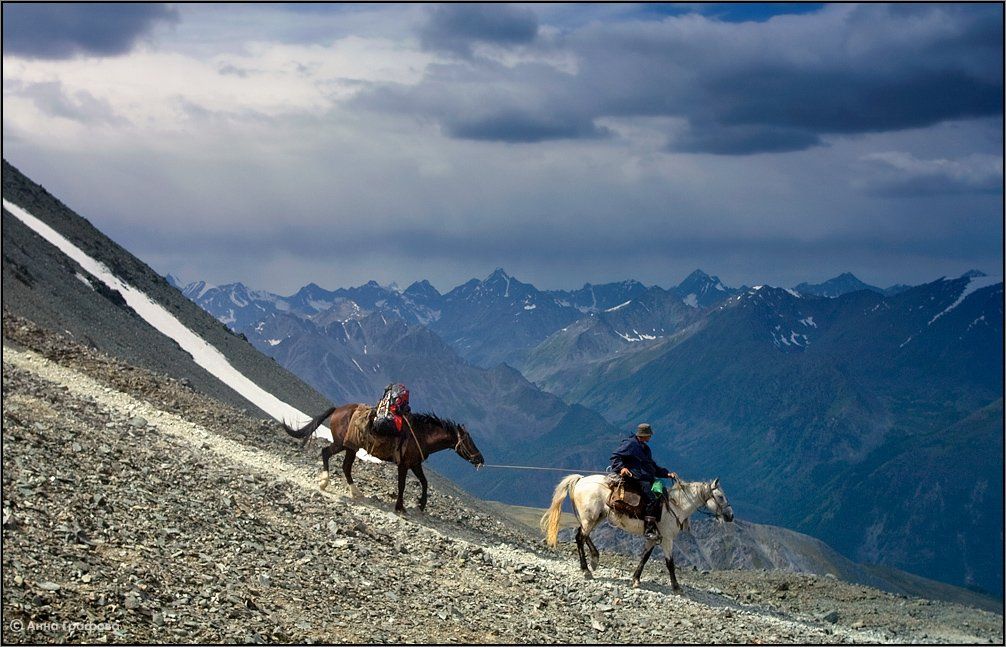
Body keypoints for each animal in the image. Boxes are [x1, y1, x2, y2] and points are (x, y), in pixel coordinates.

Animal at [539, 472, 736, 591]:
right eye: (720, 497)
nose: (730, 516)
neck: (676, 506)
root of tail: (581, 480)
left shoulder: (653, 538)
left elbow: (644, 558)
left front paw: (635, 579)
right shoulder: (667, 539)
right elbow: (670, 563)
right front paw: (676, 587)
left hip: (597, 517)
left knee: (583, 535)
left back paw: (594, 559)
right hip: (590, 518)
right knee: (580, 537)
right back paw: (586, 570)